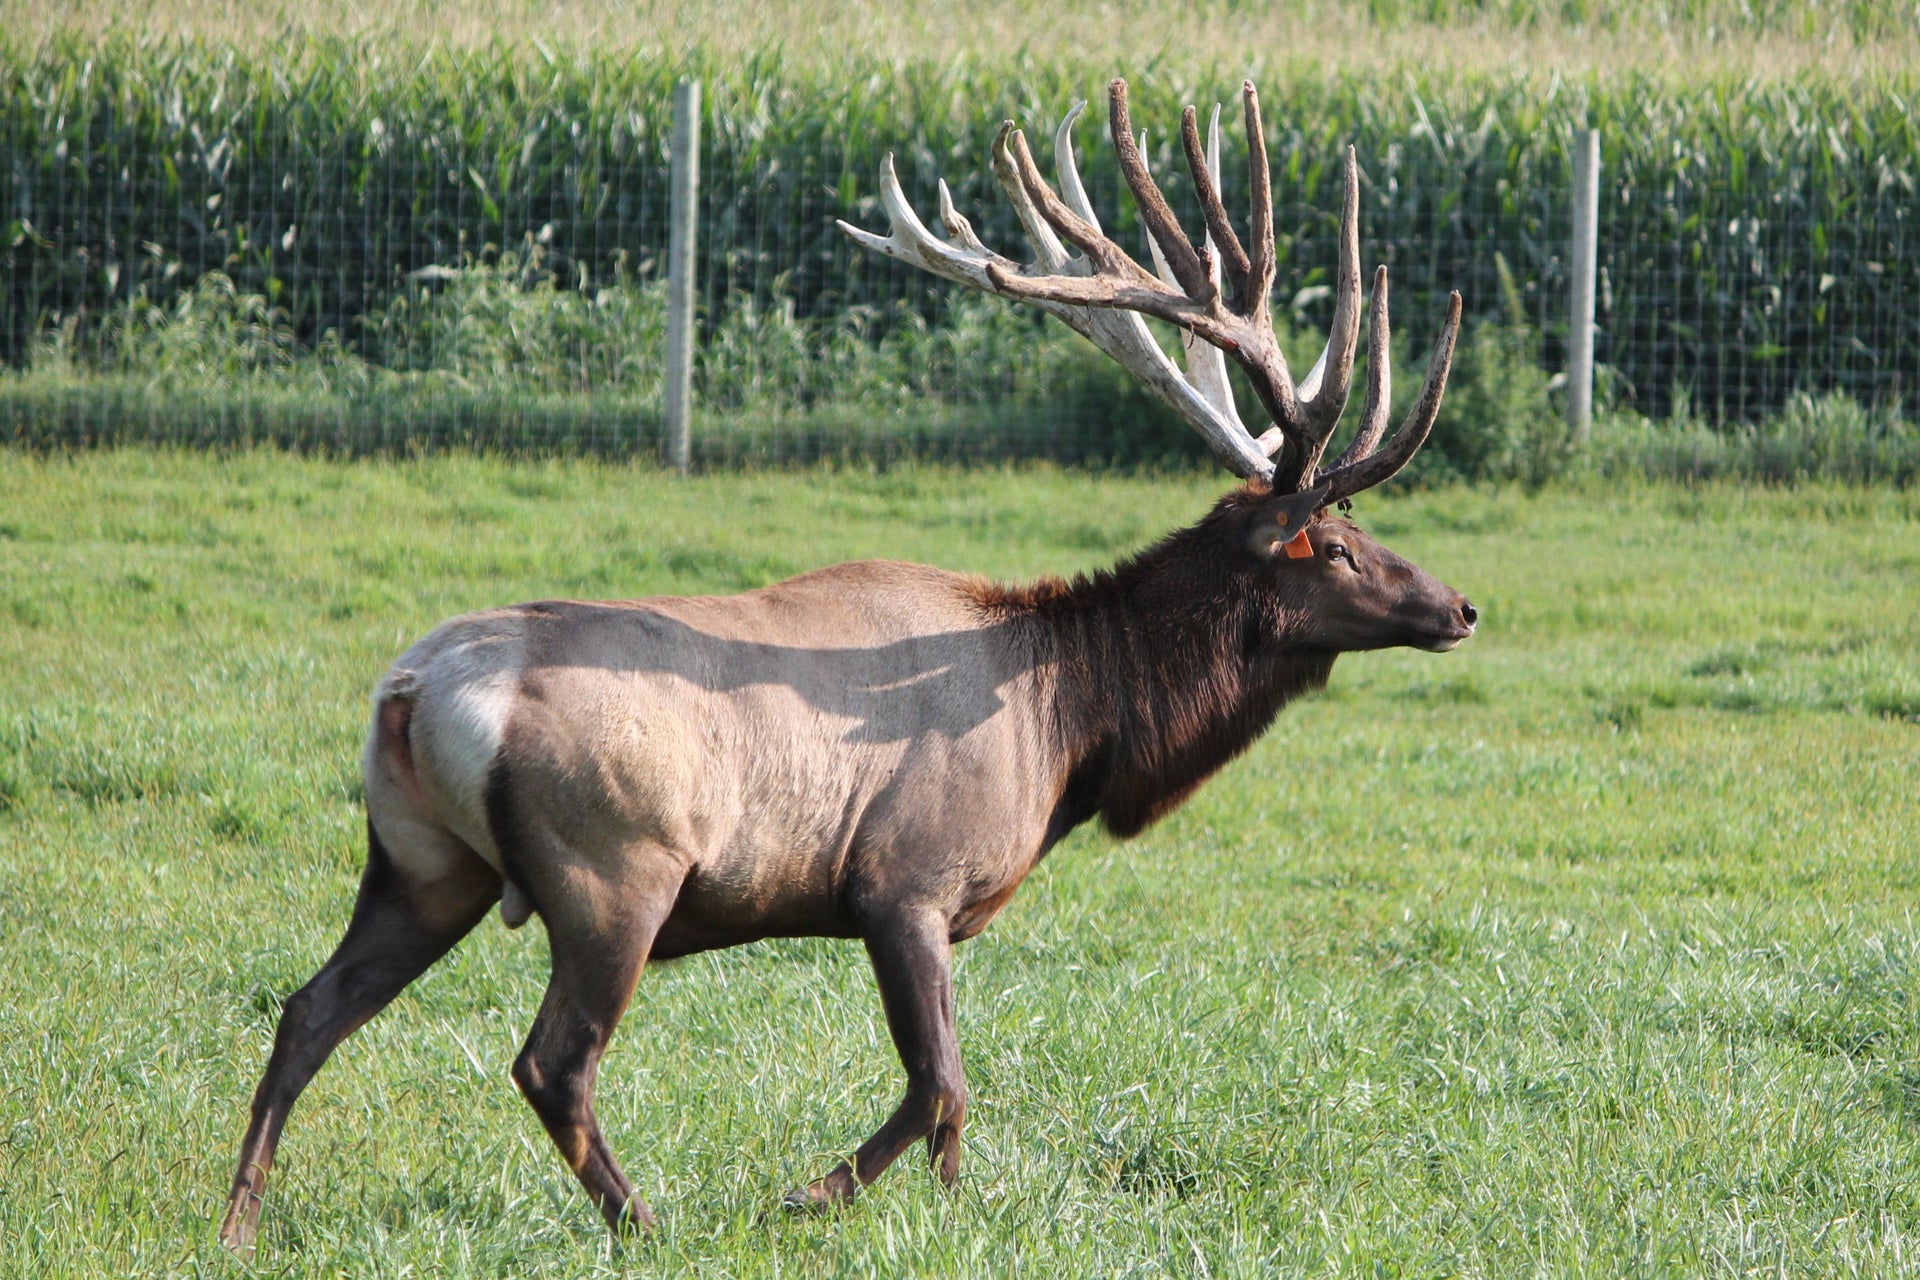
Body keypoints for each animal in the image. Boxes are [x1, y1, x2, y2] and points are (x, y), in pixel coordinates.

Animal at [217, 79, 1475, 1254]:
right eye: (1339, 544)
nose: (1459, 605)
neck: (1072, 724)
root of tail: (411, 690)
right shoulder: (902, 877)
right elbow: (942, 1083)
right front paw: (804, 1197)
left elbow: (957, 1102)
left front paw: (953, 1211)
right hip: (611, 869)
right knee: (550, 1061)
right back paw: (647, 1223)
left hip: (421, 861)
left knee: (307, 1008)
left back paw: (237, 1217)